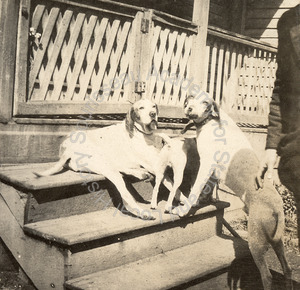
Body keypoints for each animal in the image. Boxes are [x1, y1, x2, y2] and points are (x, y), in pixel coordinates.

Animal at [173, 94, 292, 290]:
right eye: (190, 98)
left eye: (205, 102)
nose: (189, 109)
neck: (210, 121)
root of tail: (277, 207)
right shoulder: (213, 170)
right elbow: (206, 188)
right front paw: (202, 202)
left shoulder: (207, 163)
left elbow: (196, 187)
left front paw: (184, 209)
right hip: (277, 240)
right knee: (287, 269)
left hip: (256, 242)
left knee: (267, 276)